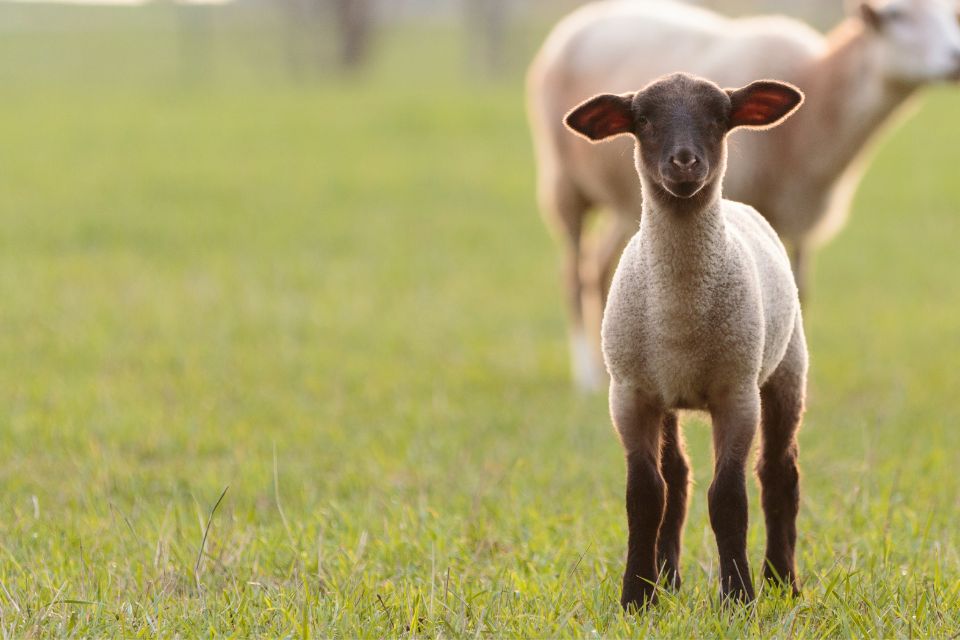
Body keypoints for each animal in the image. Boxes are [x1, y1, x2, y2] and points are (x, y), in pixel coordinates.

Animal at [528, 0, 960, 391]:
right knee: (574, 274)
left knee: (599, 268)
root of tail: (580, 20)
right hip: (564, 183)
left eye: (952, 15)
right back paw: (588, 378)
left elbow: (797, 292)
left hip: (623, 205)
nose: (955, 58)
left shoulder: (799, 215)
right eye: (897, 16)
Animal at [564, 72, 808, 609]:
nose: (683, 162)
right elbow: (645, 495)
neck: (681, 315)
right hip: (665, 394)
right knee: (676, 476)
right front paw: (637, 597)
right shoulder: (630, 394)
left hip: (787, 369)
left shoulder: (736, 394)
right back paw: (668, 577)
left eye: (719, 118)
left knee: (779, 473)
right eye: (643, 120)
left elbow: (729, 497)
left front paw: (738, 597)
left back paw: (782, 580)